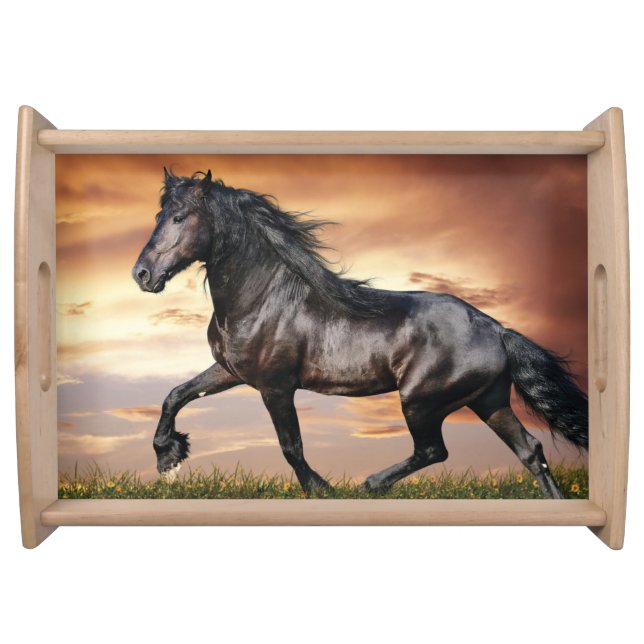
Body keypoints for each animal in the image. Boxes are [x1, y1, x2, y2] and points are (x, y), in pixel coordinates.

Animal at [132, 169, 588, 498]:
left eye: (179, 217)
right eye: (157, 216)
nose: (142, 274)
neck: (262, 298)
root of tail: (495, 328)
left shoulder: (275, 386)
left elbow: (290, 446)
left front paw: (321, 489)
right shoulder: (231, 372)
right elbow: (175, 395)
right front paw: (169, 458)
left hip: (421, 402)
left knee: (434, 450)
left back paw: (370, 484)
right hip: (488, 401)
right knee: (531, 452)